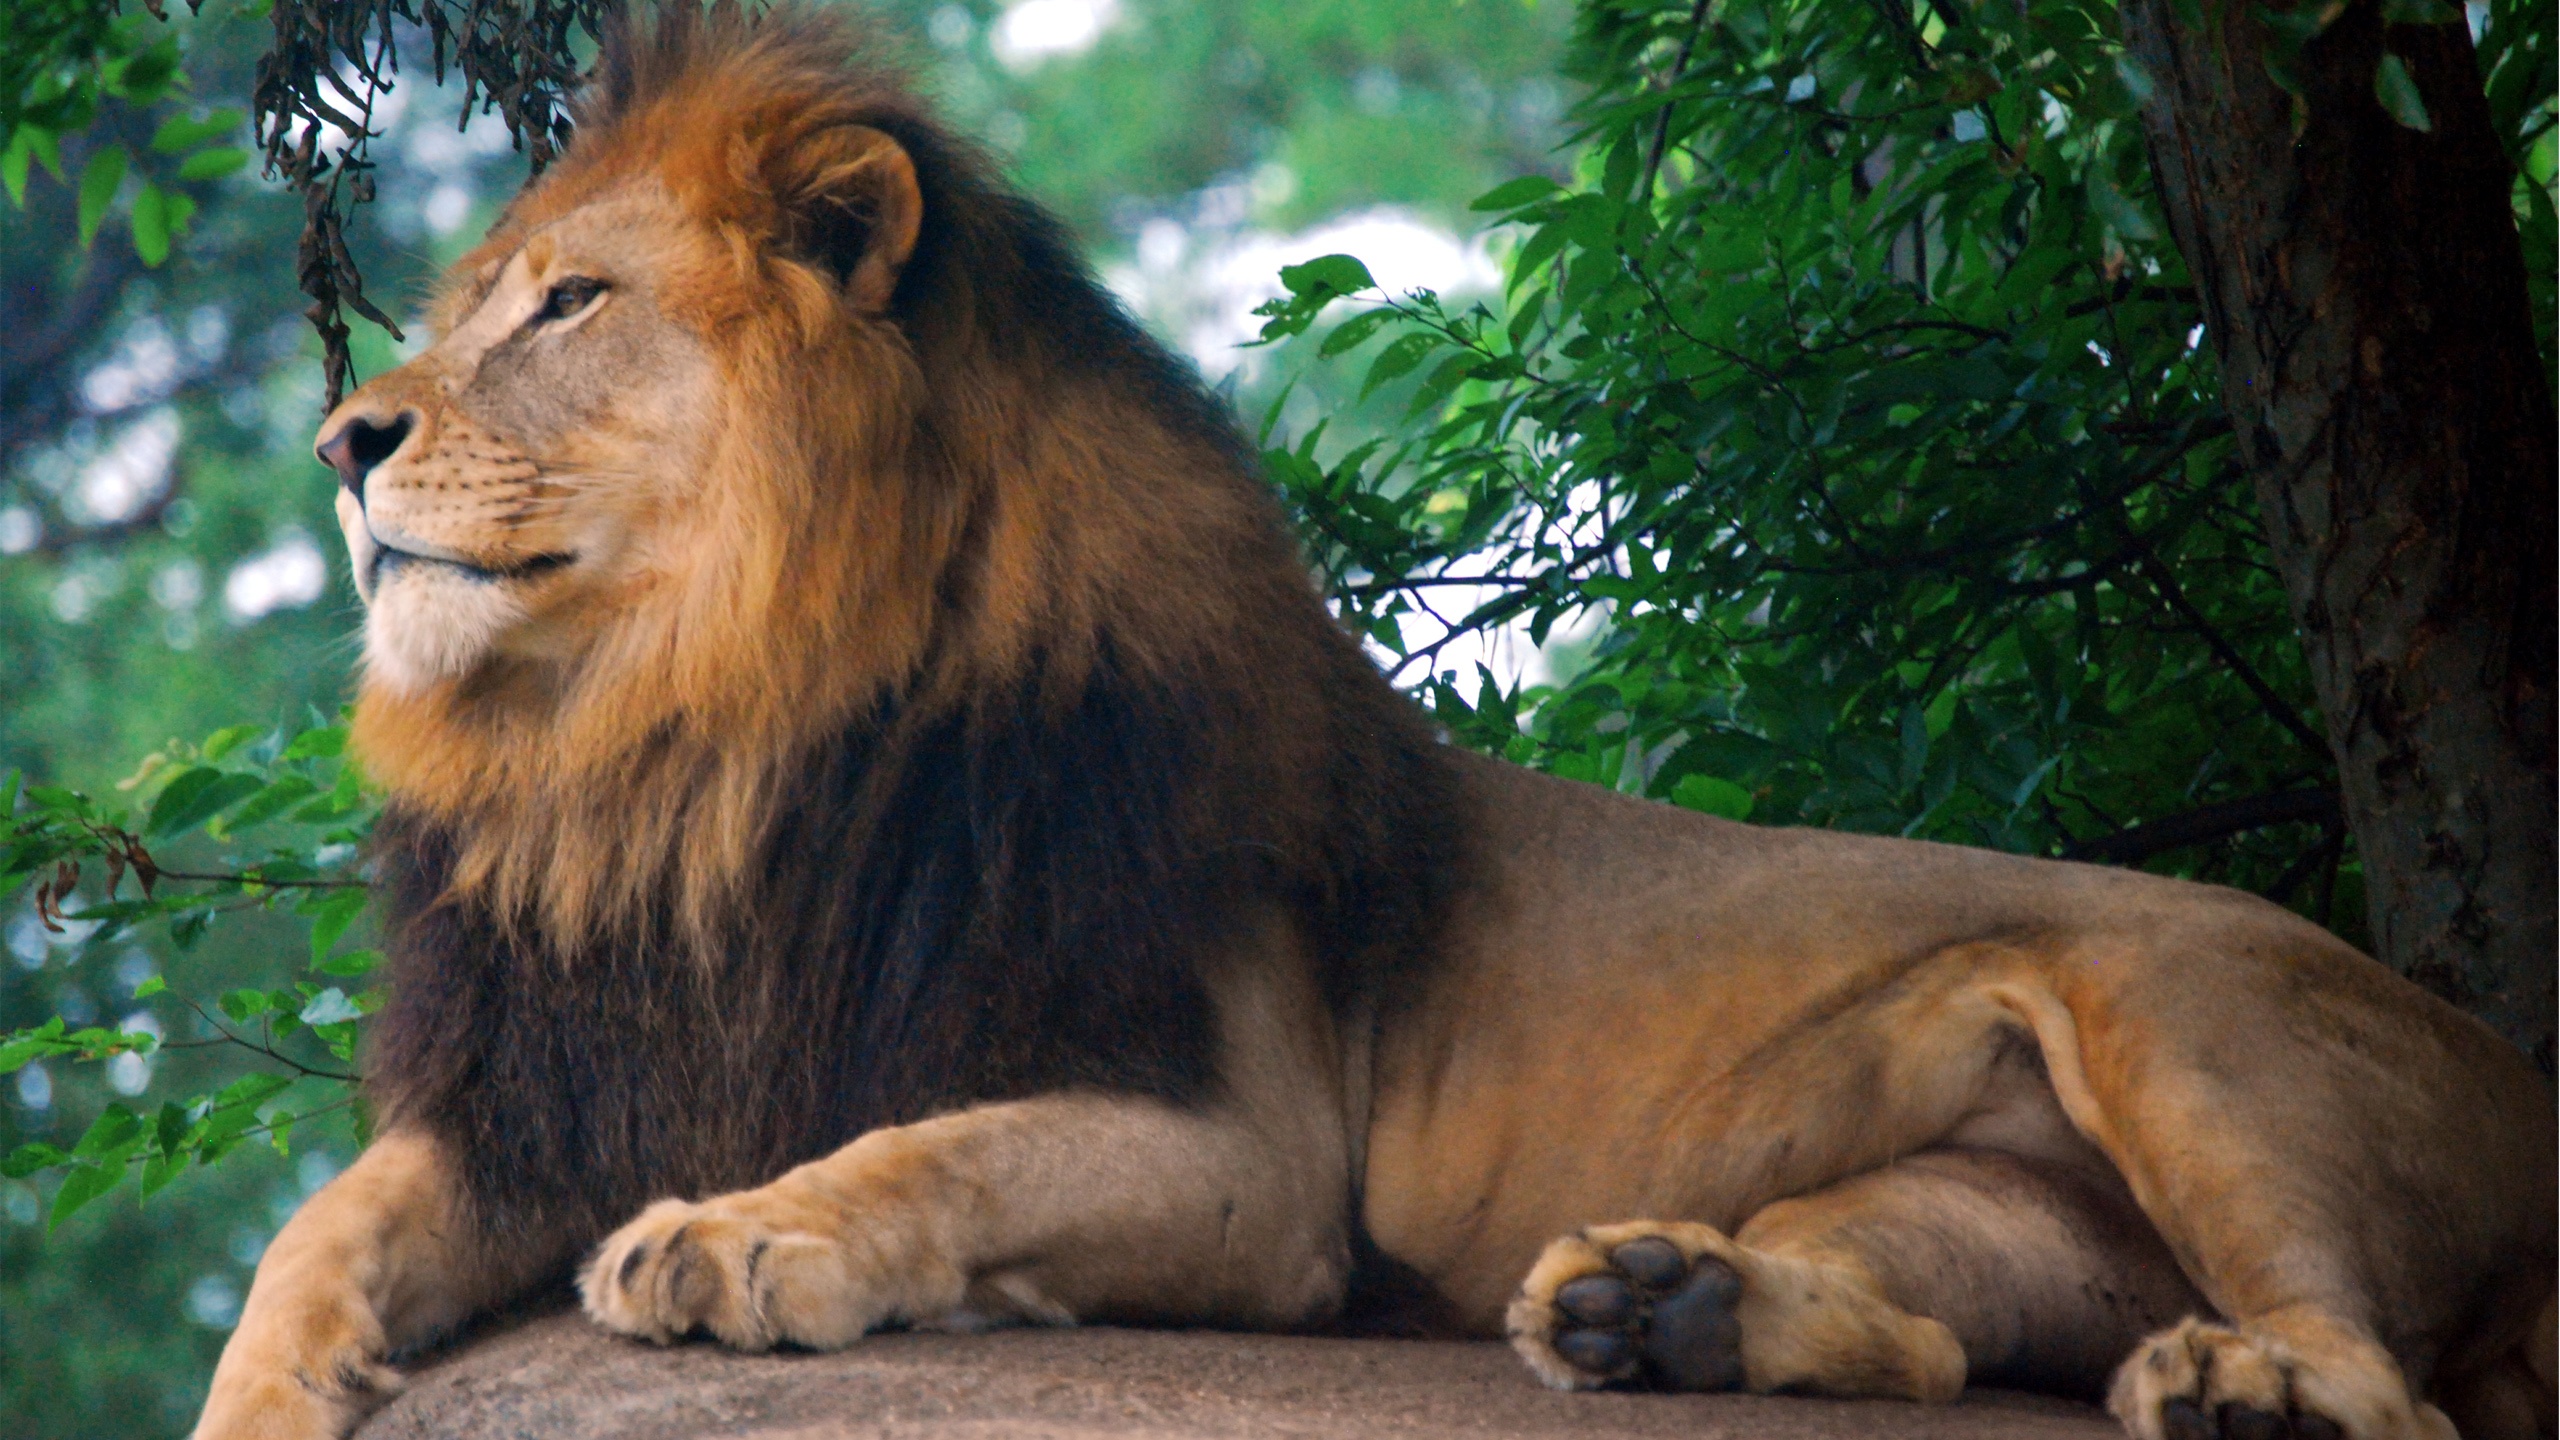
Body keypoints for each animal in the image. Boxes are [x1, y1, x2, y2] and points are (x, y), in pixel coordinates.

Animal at [193, 9, 2553, 1440]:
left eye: (570, 303)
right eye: (463, 303)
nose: (343, 436)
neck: (685, 748)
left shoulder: (1250, 1162)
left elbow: (937, 1147)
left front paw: (743, 1233)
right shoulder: (559, 1090)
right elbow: (313, 1243)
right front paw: (270, 1388)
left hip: (2187, 1030)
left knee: (2389, 1383)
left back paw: (2244, 1384)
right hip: (1984, 1199)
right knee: (1911, 1328)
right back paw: (1662, 1314)